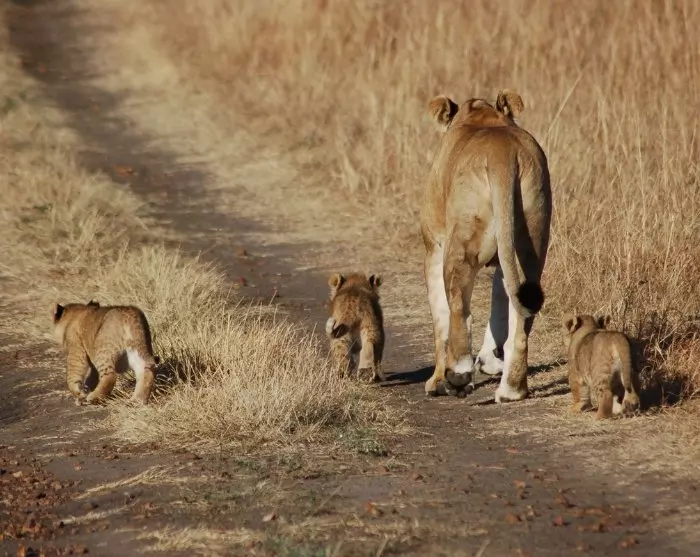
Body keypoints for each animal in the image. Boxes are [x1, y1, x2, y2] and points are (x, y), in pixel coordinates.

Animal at [420, 90, 552, 401]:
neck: (481, 115)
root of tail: (504, 157)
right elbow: (499, 304)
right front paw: (490, 361)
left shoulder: (434, 246)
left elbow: (440, 318)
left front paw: (435, 380)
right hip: (532, 236)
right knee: (521, 313)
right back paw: (511, 389)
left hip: (459, 244)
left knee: (458, 309)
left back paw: (457, 377)